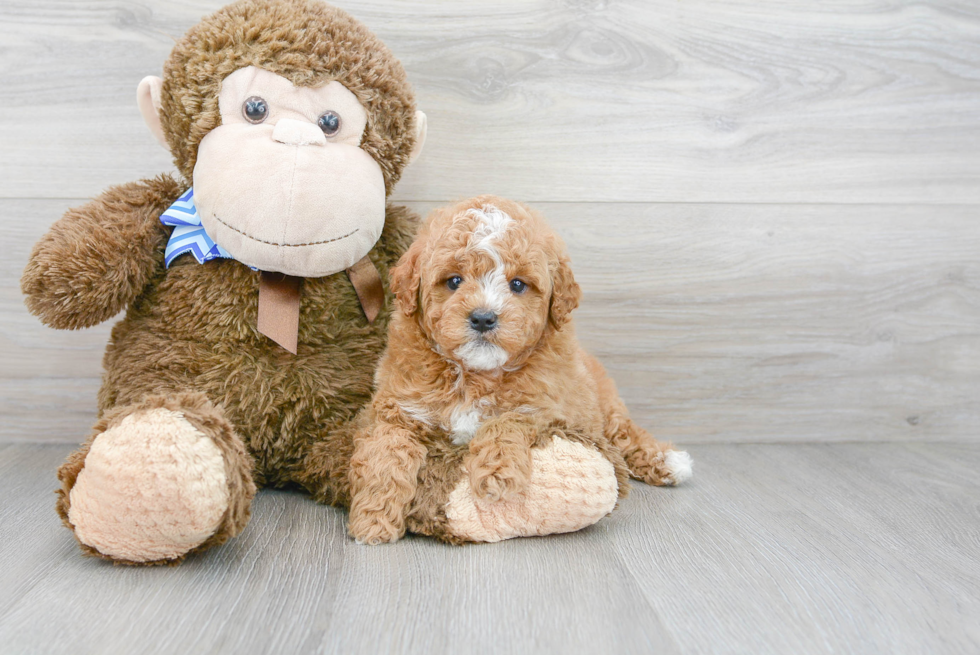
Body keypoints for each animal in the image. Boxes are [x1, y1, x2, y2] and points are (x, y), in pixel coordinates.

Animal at [348, 197, 692, 544]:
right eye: (454, 281)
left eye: (517, 284)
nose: (483, 318)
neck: (476, 374)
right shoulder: (396, 409)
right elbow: (386, 455)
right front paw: (374, 519)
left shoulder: (547, 406)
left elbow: (508, 419)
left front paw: (495, 474)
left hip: (606, 409)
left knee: (625, 433)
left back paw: (668, 461)